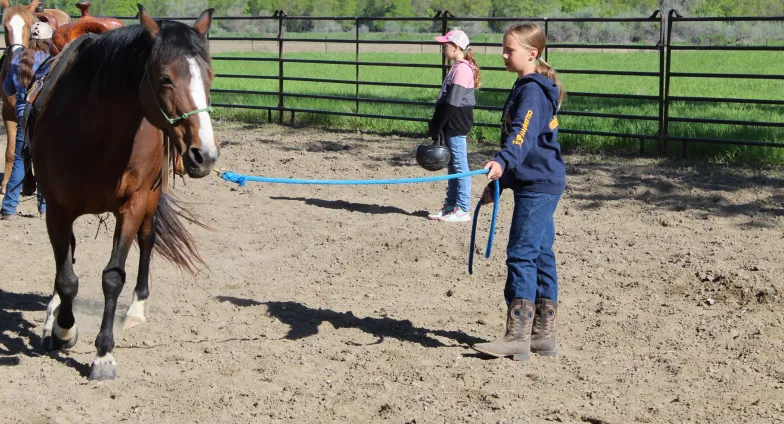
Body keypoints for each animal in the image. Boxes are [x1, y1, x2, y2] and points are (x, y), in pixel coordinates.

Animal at [30, 4, 218, 381]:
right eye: (164, 78)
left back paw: (136, 310)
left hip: (151, 199)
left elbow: (113, 277)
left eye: (210, 76)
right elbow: (66, 276)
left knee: (147, 241)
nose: (203, 155)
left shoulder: (131, 206)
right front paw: (63, 329)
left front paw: (103, 354)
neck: (95, 134)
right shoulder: (57, 209)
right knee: (67, 258)